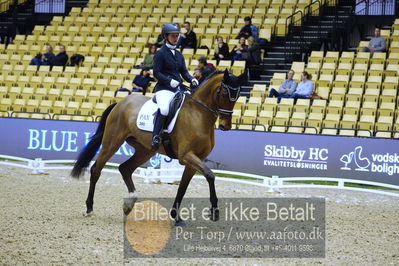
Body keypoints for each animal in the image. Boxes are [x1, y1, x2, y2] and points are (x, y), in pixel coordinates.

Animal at [72, 69, 247, 224]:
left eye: (238, 96)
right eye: (224, 93)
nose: (225, 126)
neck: (198, 114)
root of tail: (120, 103)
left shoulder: (195, 160)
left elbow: (183, 187)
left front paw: (176, 216)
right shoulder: (186, 156)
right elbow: (210, 175)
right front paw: (214, 211)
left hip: (145, 150)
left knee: (125, 168)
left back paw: (129, 204)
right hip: (112, 142)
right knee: (96, 169)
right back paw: (89, 208)